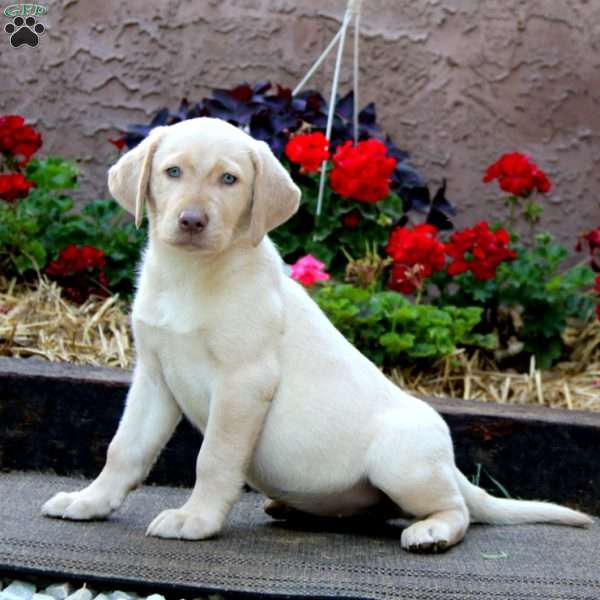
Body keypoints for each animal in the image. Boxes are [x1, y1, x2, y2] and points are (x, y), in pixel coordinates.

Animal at [41, 117, 592, 552]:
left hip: (402, 461)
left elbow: (213, 458)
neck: (190, 275)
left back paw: (432, 531)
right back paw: (292, 508)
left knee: (456, 510)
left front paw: (195, 519)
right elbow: (125, 448)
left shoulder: (244, 383)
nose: (192, 220)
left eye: (229, 179)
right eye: (172, 171)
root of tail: (447, 461)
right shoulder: (155, 377)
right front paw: (90, 501)